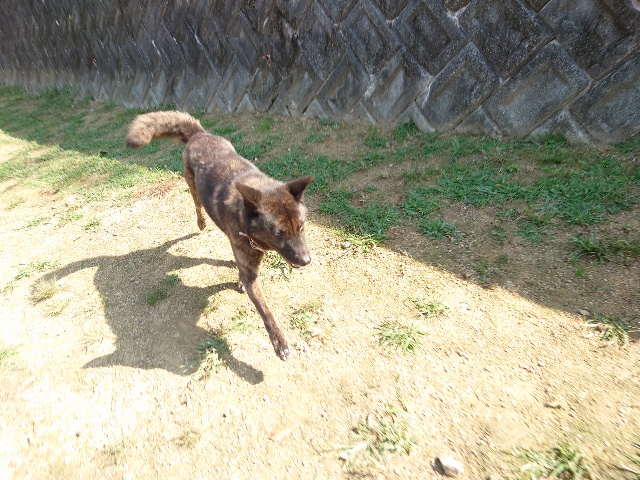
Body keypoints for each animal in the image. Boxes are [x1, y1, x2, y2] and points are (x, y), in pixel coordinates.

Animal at [126, 111, 313, 361]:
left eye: (302, 227)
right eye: (278, 233)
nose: (306, 260)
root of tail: (199, 134)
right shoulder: (250, 272)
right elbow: (266, 312)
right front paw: (279, 342)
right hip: (192, 186)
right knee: (197, 205)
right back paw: (201, 222)